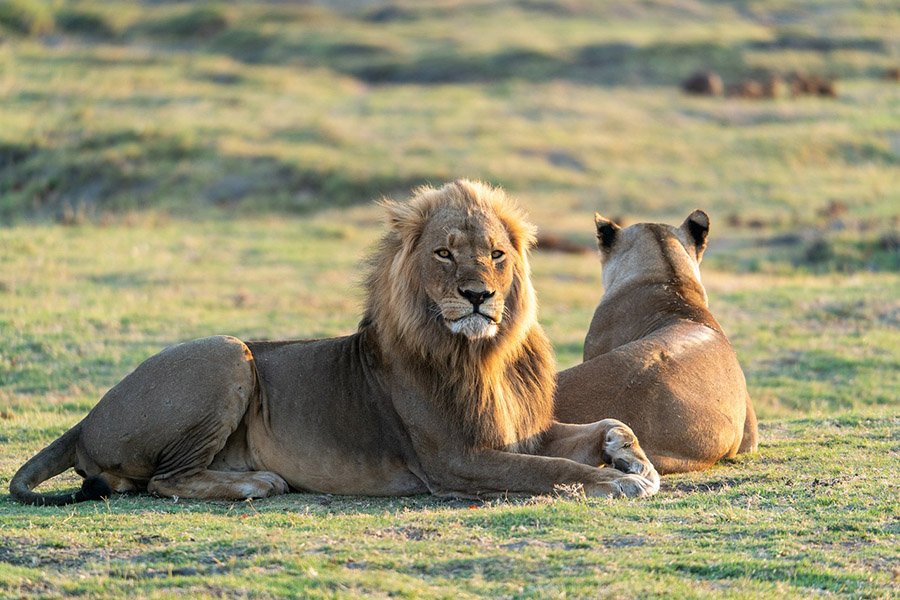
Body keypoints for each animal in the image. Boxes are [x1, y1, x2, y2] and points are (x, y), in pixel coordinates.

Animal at [11, 180, 659, 505]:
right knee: (164, 481)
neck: (483, 354)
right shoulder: (456, 460)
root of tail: (87, 416)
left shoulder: (522, 431)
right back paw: (257, 482)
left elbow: (607, 424)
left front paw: (634, 460)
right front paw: (617, 480)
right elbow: (550, 471)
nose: (478, 295)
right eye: (444, 253)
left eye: (497, 254)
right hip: (227, 353)